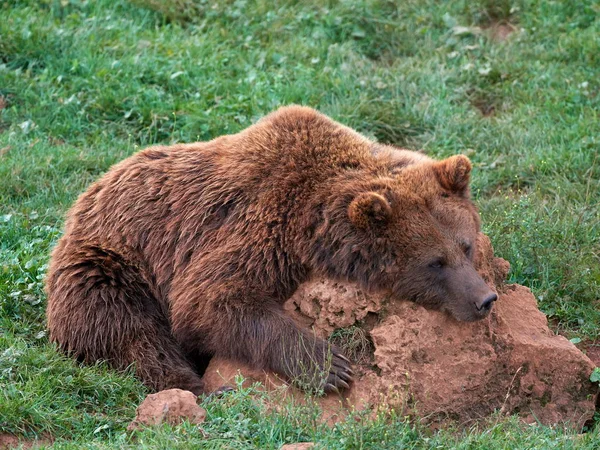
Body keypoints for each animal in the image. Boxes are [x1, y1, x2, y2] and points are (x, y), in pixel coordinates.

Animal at [45, 104, 496, 394]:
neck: (314, 224)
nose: (484, 299)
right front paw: (330, 367)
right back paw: (198, 387)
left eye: (466, 246)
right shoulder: (262, 226)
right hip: (110, 264)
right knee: (129, 330)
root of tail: (85, 197)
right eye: (434, 263)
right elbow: (209, 299)